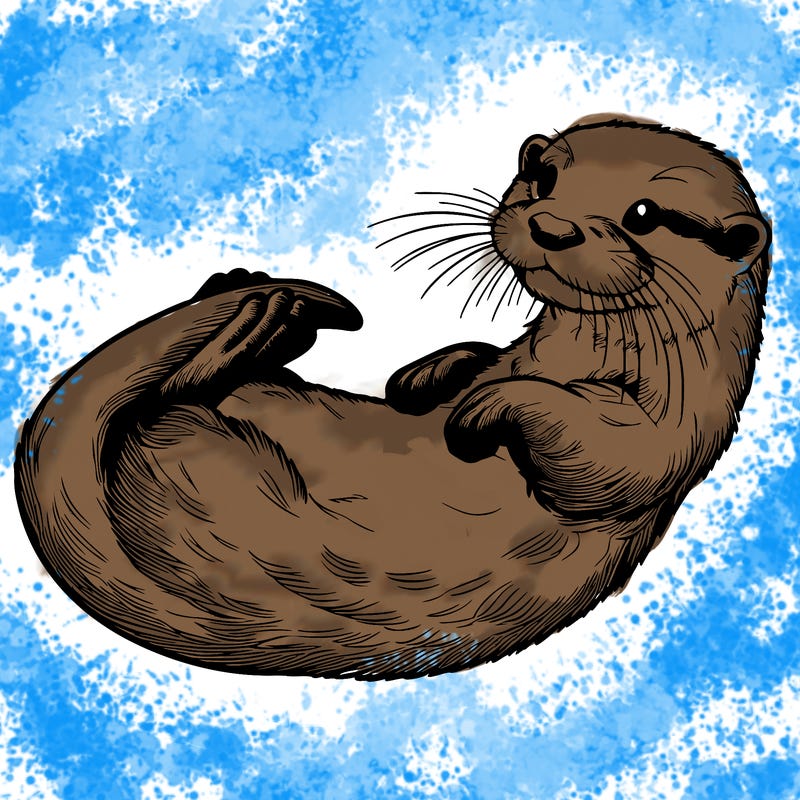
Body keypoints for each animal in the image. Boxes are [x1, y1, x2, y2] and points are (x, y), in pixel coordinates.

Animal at [15, 117, 771, 680]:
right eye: (545, 176)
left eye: (643, 213)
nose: (552, 225)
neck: (571, 353)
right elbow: (467, 366)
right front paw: (435, 376)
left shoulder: (679, 427)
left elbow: (609, 458)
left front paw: (481, 412)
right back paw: (247, 300)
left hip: (209, 473)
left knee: (171, 402)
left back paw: (254, 320)